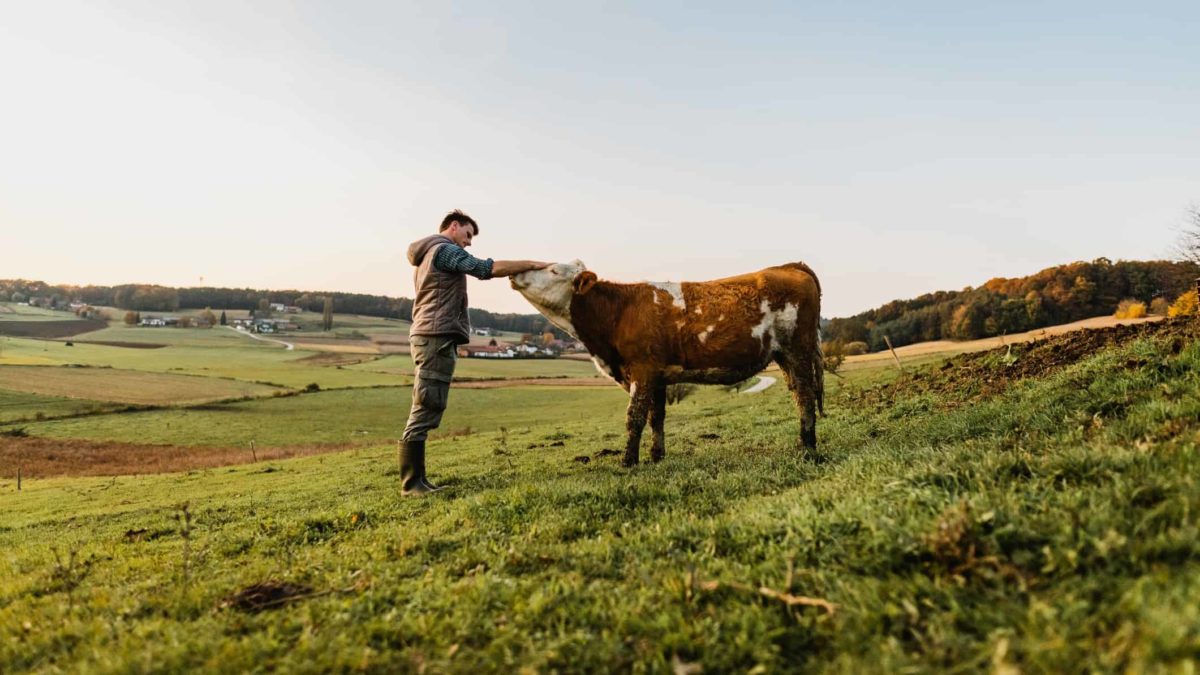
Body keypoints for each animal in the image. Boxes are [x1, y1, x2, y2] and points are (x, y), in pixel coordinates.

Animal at [510, 260, 823, 467]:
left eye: (552, 270)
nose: (515, 273)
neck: (618, 311)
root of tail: (789, 266)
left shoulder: (642, 369)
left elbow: (634, 417)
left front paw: (628, 461)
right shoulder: (658, 376)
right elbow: (655, 417)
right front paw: (656, 456)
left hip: (798, 350)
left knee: (806, 396)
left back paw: (808, 448)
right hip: (784, 356)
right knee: (798, 395)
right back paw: (802, 442)